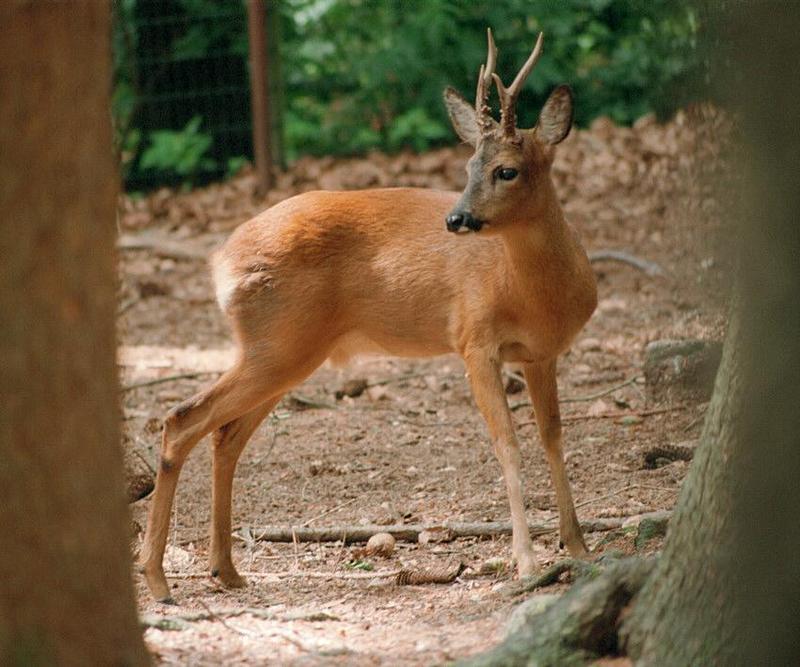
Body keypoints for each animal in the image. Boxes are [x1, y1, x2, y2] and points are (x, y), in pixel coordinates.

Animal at [141, 28, 596, 604]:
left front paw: (578, 545)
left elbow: (554, 440)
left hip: (282, 352)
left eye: (505, 170)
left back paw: (226, 569)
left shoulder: (542, 354)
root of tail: (220, 260)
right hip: (280, 343)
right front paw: (526, 561)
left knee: (226, 435)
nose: (458, 219)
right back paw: (158, 578)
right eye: (468, 168)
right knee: (183, 419)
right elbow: (507, 446)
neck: (534, 295)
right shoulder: (473, 341)